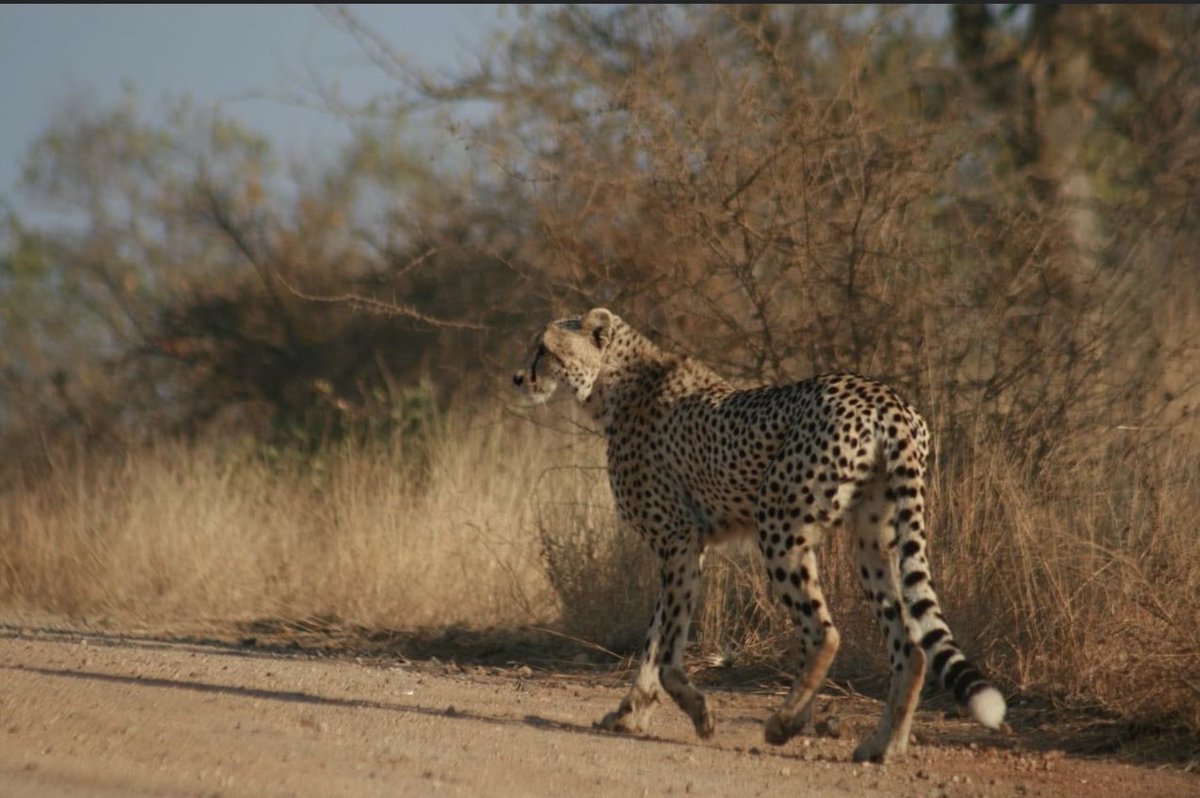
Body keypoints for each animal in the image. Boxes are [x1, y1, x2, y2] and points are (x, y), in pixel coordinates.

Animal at [513, 308, 1006, 762]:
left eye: (544, 349)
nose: (518, 378)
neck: (614, 383)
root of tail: (886, 399)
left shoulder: (679, 539)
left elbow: (666, 649)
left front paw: (699, 714)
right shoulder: (688, 545)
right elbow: (654, 640)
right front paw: (629, 713)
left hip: (779, 524)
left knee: (825, 633)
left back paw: (785, 723)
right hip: (874, 539)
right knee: (911, 648)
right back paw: (884, 746)